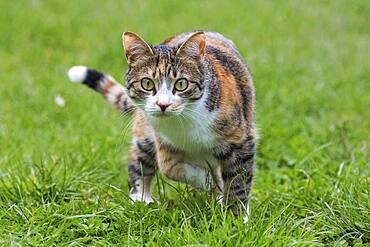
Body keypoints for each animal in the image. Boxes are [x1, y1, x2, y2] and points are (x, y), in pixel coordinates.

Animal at [68, 30, 256, 218]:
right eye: (147, 83)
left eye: (181, 83)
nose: (163, 104)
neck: (184, 121)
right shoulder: (163, 139)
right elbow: (167, 166)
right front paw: (206, 181)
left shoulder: (241, 140)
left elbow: (239, 182)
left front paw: (236, 217)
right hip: (145, 130)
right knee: (139, 159)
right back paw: (141, 201)